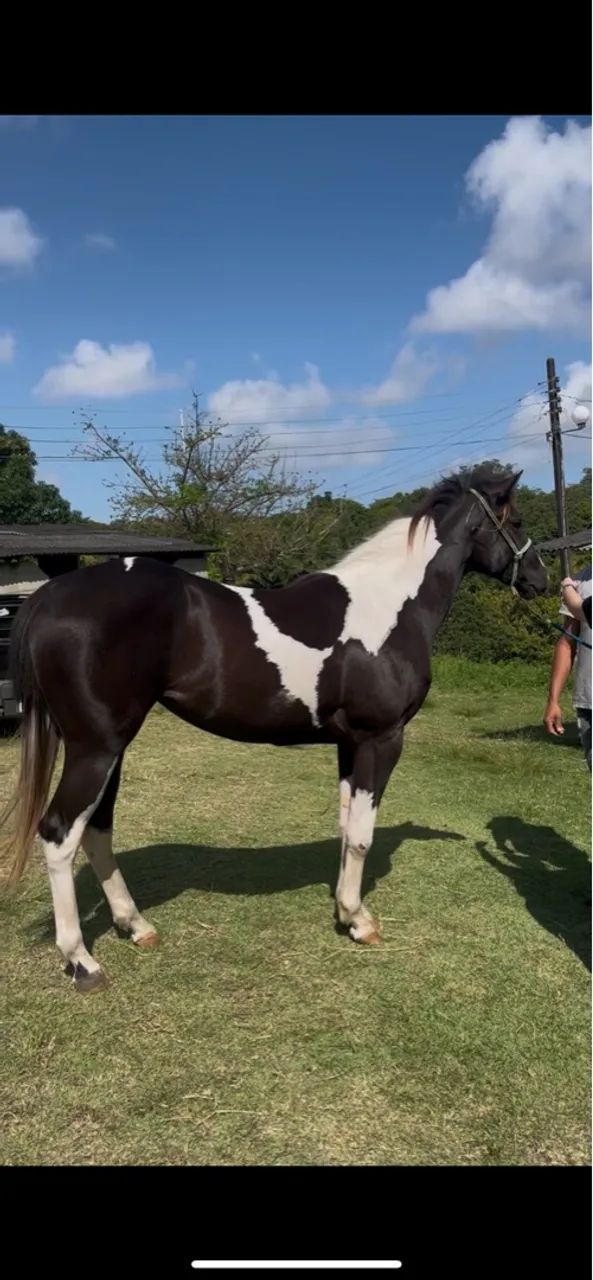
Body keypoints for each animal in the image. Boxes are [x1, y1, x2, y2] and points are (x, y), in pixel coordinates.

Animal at [1, 464, 547, 993]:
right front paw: (360, 921)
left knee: (96, 828)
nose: (540, 579)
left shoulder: (348, 745)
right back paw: (82, 963)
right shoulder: (381, 739)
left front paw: (344, 913)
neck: (389, 606)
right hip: (96, 748)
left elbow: (346, 829)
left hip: (110, 747)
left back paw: (135, 926)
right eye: (518, 521)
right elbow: (363, 836)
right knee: (59, 834)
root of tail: (49, 596)